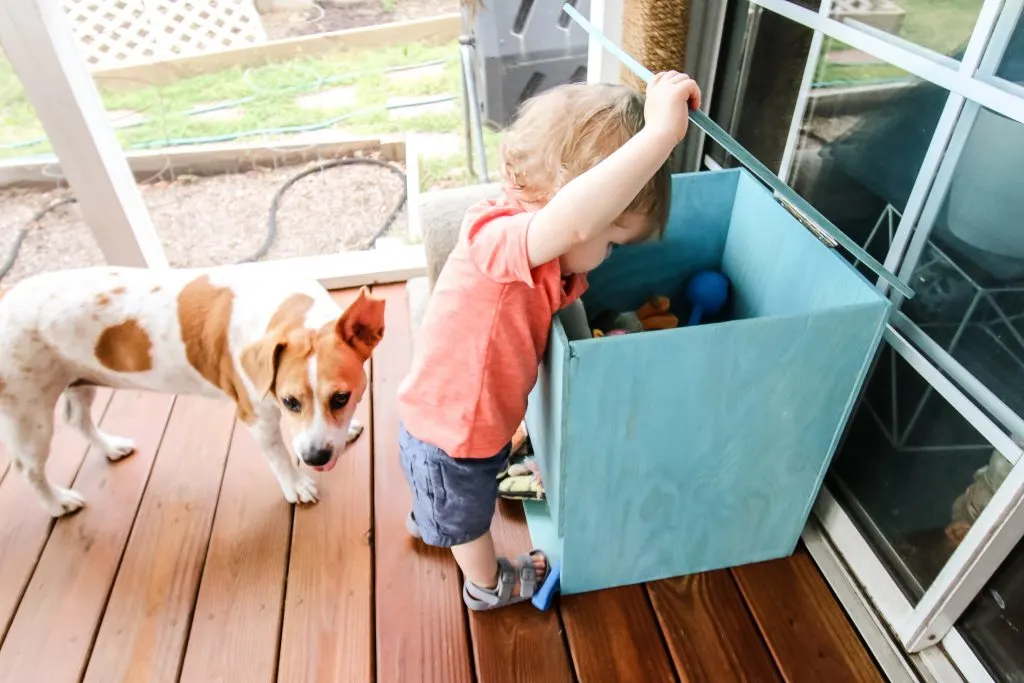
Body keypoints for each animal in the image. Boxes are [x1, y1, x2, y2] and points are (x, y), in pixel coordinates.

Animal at [0, 266, 385, 518]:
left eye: (341, 398)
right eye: (289, 401)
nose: (315, 458)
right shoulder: (257, 416)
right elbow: (277, 454)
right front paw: (296, 485)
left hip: (79, 381)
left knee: (77, 419)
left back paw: (111, 447)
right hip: (29, 414)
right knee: (28, 468)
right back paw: (57, 503)